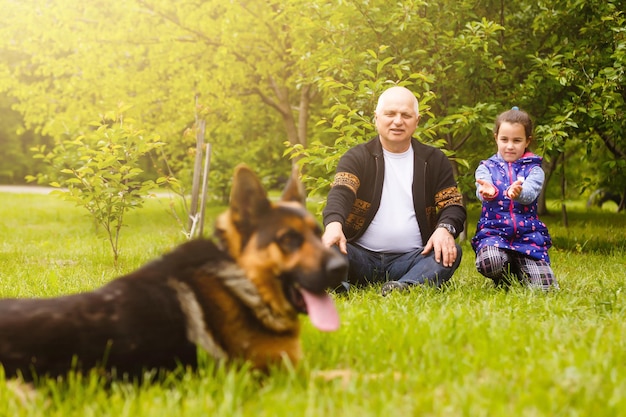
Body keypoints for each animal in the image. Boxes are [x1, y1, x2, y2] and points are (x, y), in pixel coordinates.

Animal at [0, 164, 346, 378]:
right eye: (288, 240)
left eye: (318, 234)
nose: (343, 266)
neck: (242, 277)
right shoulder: (286, 375)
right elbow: (351, 375)